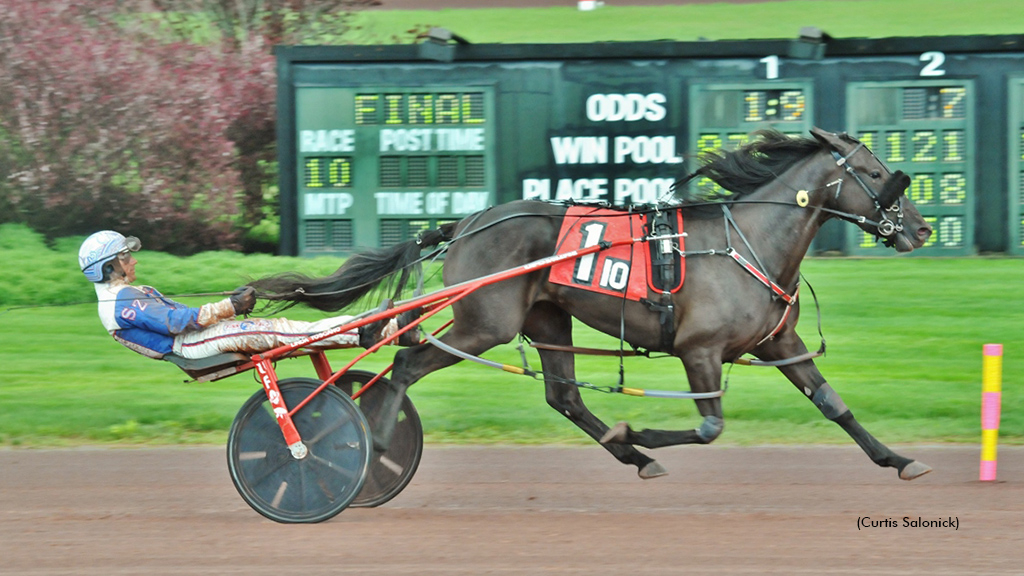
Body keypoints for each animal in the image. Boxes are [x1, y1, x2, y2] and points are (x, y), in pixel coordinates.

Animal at [253, 129, 937, 479]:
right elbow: (709, 426)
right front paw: (644, 432)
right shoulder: (700, 349)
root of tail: (467, 222)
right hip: (484, 322)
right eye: (878, 175)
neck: (751, 241)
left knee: (564, 397)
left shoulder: (780, 342)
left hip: (547, 318)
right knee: (405, 363)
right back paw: (376, 445)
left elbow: (833, 404)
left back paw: (632, 456)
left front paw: (898, 458)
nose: (923, 228)